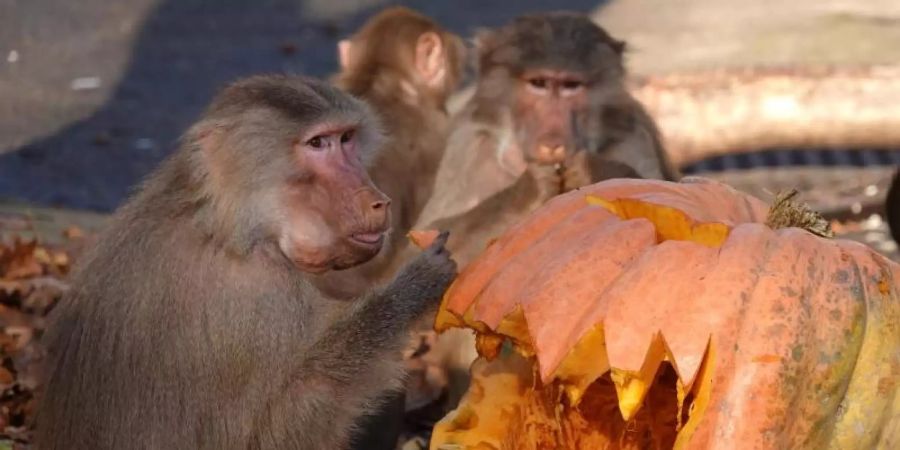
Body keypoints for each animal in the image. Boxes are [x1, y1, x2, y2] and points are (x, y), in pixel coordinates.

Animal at [35, 75, 458, 450]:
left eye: (346, 139)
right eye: (317, 143)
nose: (378, 201)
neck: (227, 225)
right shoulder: (259, 292)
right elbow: (280, 426)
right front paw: (412, 288)